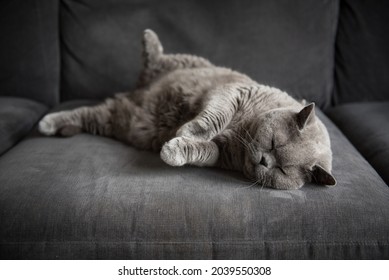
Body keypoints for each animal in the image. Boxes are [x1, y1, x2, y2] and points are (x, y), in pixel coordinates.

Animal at [40, 29, 336, 190]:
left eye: (282, 171)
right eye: (274, 143)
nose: (264, 160)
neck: (243, 131)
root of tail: (136, 90)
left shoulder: (221, 154)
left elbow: (205, 149)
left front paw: (174, 149)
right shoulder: (232, 93)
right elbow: (211, 120)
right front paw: (187, 131)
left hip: (111, 119)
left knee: (83, 114)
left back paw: (52, 123)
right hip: (186, 61)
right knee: (155, 57)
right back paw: (148, 38)